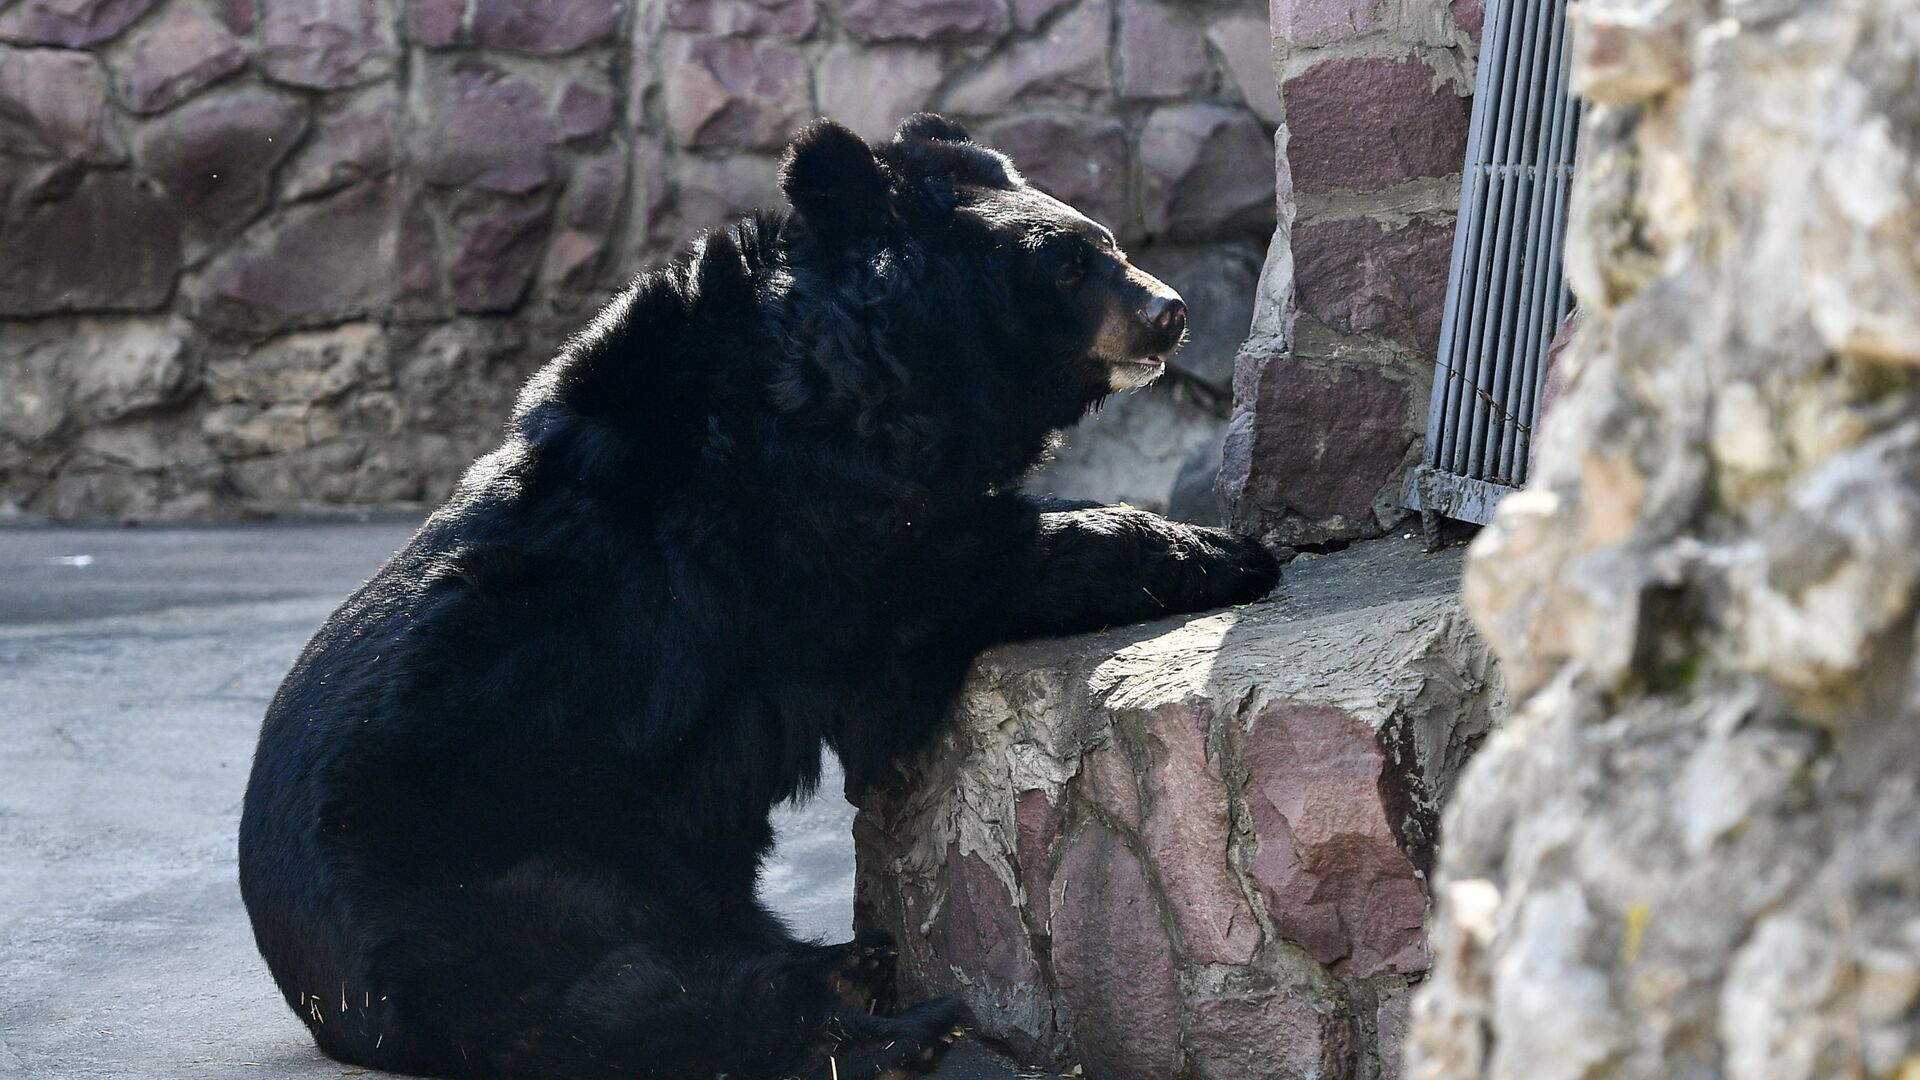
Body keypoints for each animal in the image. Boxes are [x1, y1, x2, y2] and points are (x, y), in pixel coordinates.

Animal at [243, 113, 1274, 1068]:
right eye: (1064, 267)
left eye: (1108, 241)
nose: (1172, 311)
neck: (857, 370)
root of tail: (313, 986)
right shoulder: (797, 530)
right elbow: (959, 574)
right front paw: (1233, 551)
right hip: (509, 866)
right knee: (639, 996)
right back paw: (899, 1024)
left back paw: (856, 967)